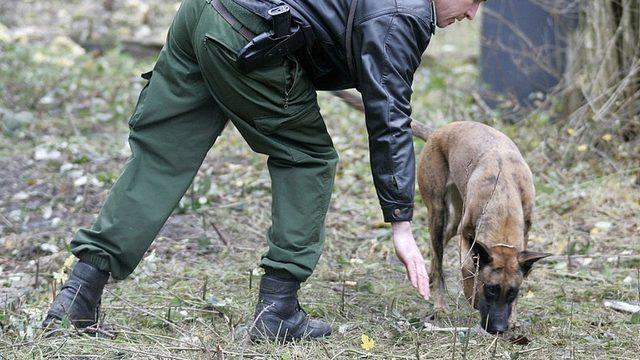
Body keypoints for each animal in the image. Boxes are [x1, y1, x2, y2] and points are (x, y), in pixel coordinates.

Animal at [416, 121, 552, 334]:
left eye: (513, 292)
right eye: (491, 289)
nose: (498, 329)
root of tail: (438, 132)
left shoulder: (524, 236)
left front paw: (513, 317)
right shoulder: (467, 236)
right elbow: (468, 267)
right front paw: (472, 296)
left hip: (453, 218)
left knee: (438, 247)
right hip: (437, 211)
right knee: (439, 256)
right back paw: (440, 305)